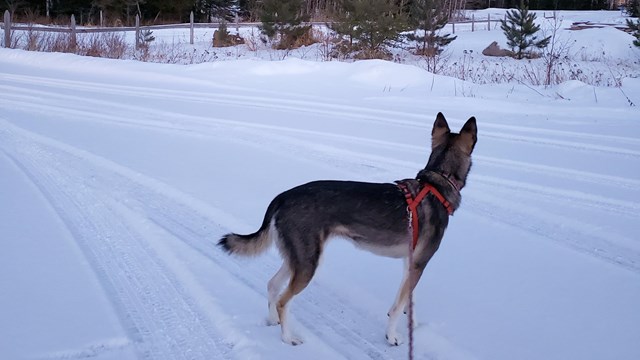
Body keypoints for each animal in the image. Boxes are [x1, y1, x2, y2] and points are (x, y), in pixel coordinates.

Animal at [219, 112, 476, 346]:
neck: (437, 183)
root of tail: (283, 196)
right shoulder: (418, 263)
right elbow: (396, 308)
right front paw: (392, 337)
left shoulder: (410, 263)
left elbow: (407, 301)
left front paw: (412, 322)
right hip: (308, 264)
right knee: (284, 300)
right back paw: (288, 338)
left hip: (298, 259)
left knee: (272, 285)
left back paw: (273, 320)